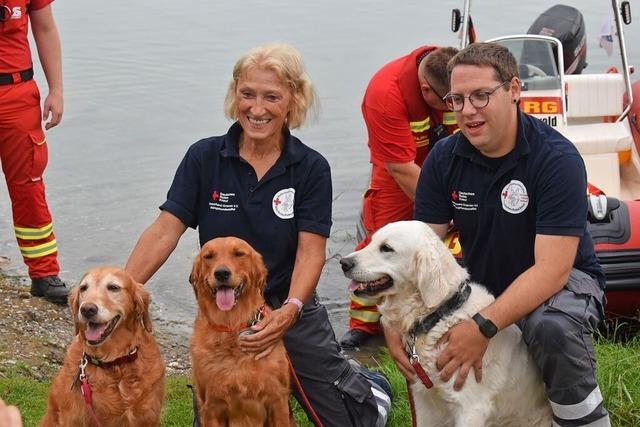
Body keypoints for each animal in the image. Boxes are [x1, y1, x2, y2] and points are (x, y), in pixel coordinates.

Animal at [342, 222, 552, 426]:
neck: (438, 315)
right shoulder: (423, 403)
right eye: (371, 241)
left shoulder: (471, 409)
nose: (344, 262)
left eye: (386, 248)